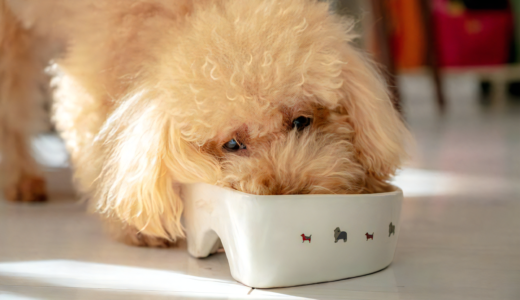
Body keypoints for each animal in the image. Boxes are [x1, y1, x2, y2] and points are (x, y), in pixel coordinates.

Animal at [1, 0, 410, 246]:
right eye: (232, 144)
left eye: (302, 120)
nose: (288, 191)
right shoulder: (92, 81)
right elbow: (101, 153)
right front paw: (135, 226)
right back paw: (21, 179)